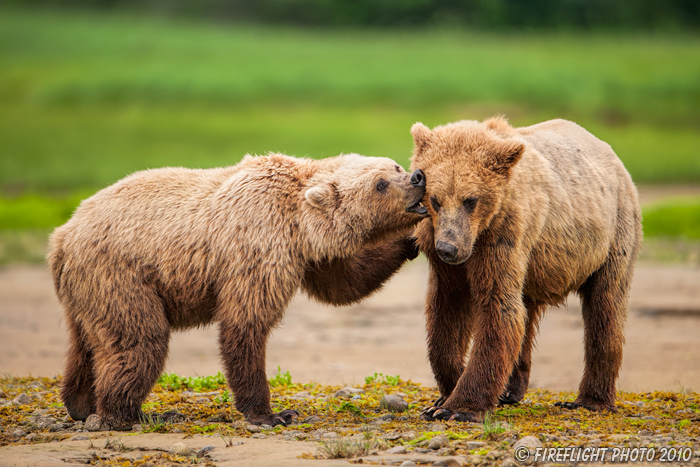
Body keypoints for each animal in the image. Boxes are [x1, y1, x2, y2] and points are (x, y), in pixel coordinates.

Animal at [47, 152, 426, 430]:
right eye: (380, 184)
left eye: (395, 166)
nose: (417, 178)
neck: (298, 220)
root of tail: (61, 236)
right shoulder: (258, 247)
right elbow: (246, 324)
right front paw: (273, 414)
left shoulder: (309, 254)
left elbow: (345, 282)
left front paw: (411, 239)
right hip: (122, 276)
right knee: (139, 340)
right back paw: (133, 414)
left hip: (87, 290)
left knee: (86, 344)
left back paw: (80, 404)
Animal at [410, 118, 644, 424]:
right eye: (435, 199)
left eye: (470, 200)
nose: (448, 248)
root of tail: (611, 154)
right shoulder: (448, 263)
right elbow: (446, 315)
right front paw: (442, 397)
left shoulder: (503, 236)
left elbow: (498, 307)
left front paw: (458, 408)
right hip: (537, 265)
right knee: (527, 313)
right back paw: (510, 390)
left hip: (612, 236)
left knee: (605, 308)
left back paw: (589, 400)